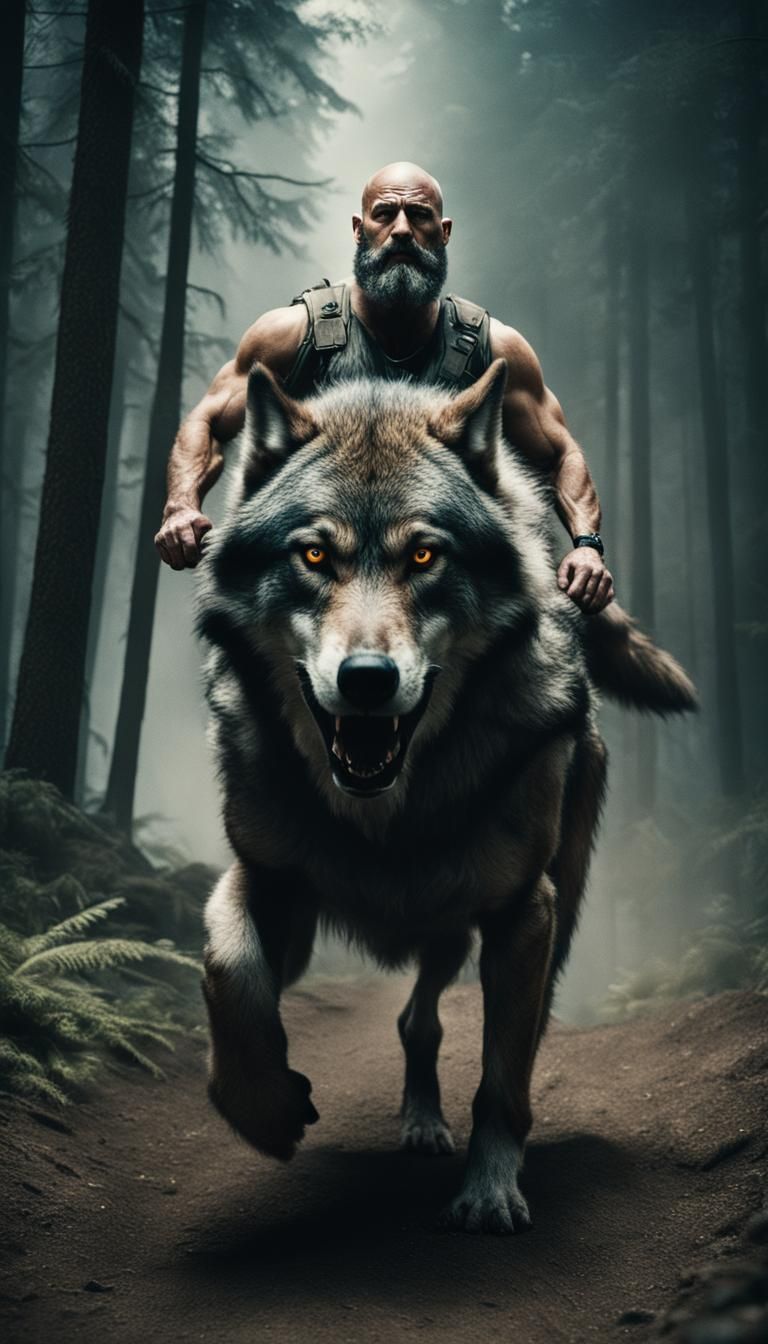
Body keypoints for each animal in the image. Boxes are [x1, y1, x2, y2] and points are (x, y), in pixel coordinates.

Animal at [197, 358, 696, 1234]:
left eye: (426, 556)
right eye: (314, 555)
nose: (366, 680)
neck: (383, 812)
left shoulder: (522, 913)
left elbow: (503, 1079)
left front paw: (490, 1190)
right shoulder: (270, 880)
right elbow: (227, 966)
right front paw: (263, 1108)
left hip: (522, 915)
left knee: (449, 1024)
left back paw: (437, 1129)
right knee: (413, 1015)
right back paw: (419, 1122)